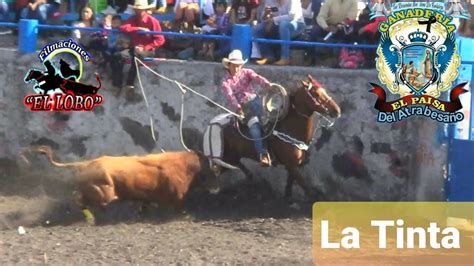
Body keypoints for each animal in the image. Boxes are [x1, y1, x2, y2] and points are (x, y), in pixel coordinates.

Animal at [18, 147, 218, 219]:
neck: (185, 167)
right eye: (210, 173)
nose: (216, 187)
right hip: (104, 194)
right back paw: (91, 216)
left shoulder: (146, 198)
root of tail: (85, 164)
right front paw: (186, 216)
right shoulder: (177, 198)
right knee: (78, 199)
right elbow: (180, 208)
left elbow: (144, 205)